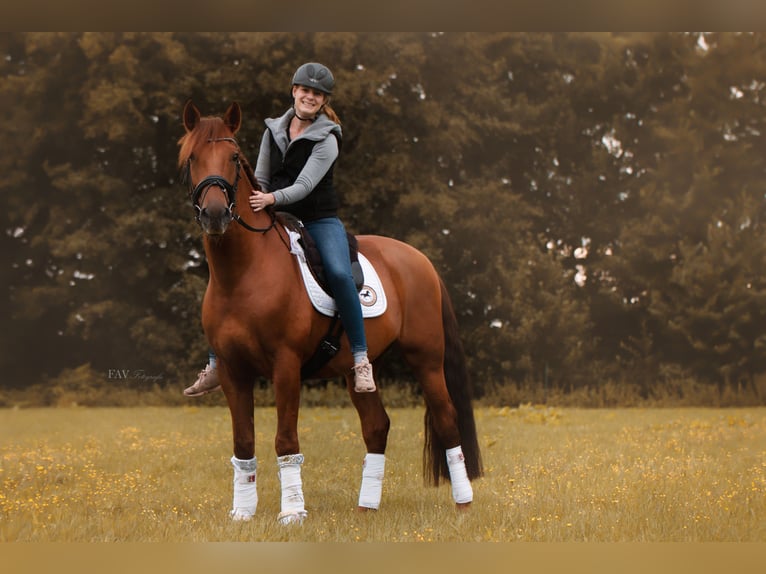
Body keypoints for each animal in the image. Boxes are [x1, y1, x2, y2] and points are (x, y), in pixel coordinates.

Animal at [178, 100, 482, 524]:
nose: (215, 214)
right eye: (192, 158)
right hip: (358, 370)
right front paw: (242, 513)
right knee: (377, 426)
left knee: (446, 419)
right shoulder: (232, 371)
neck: (243, 274)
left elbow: (285, 439)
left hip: (427, 359)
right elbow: (243, 442)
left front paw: (292, 513)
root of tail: (419, 260)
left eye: (234, 158)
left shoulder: (286, 367)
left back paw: (463, 503)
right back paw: (366, 507)